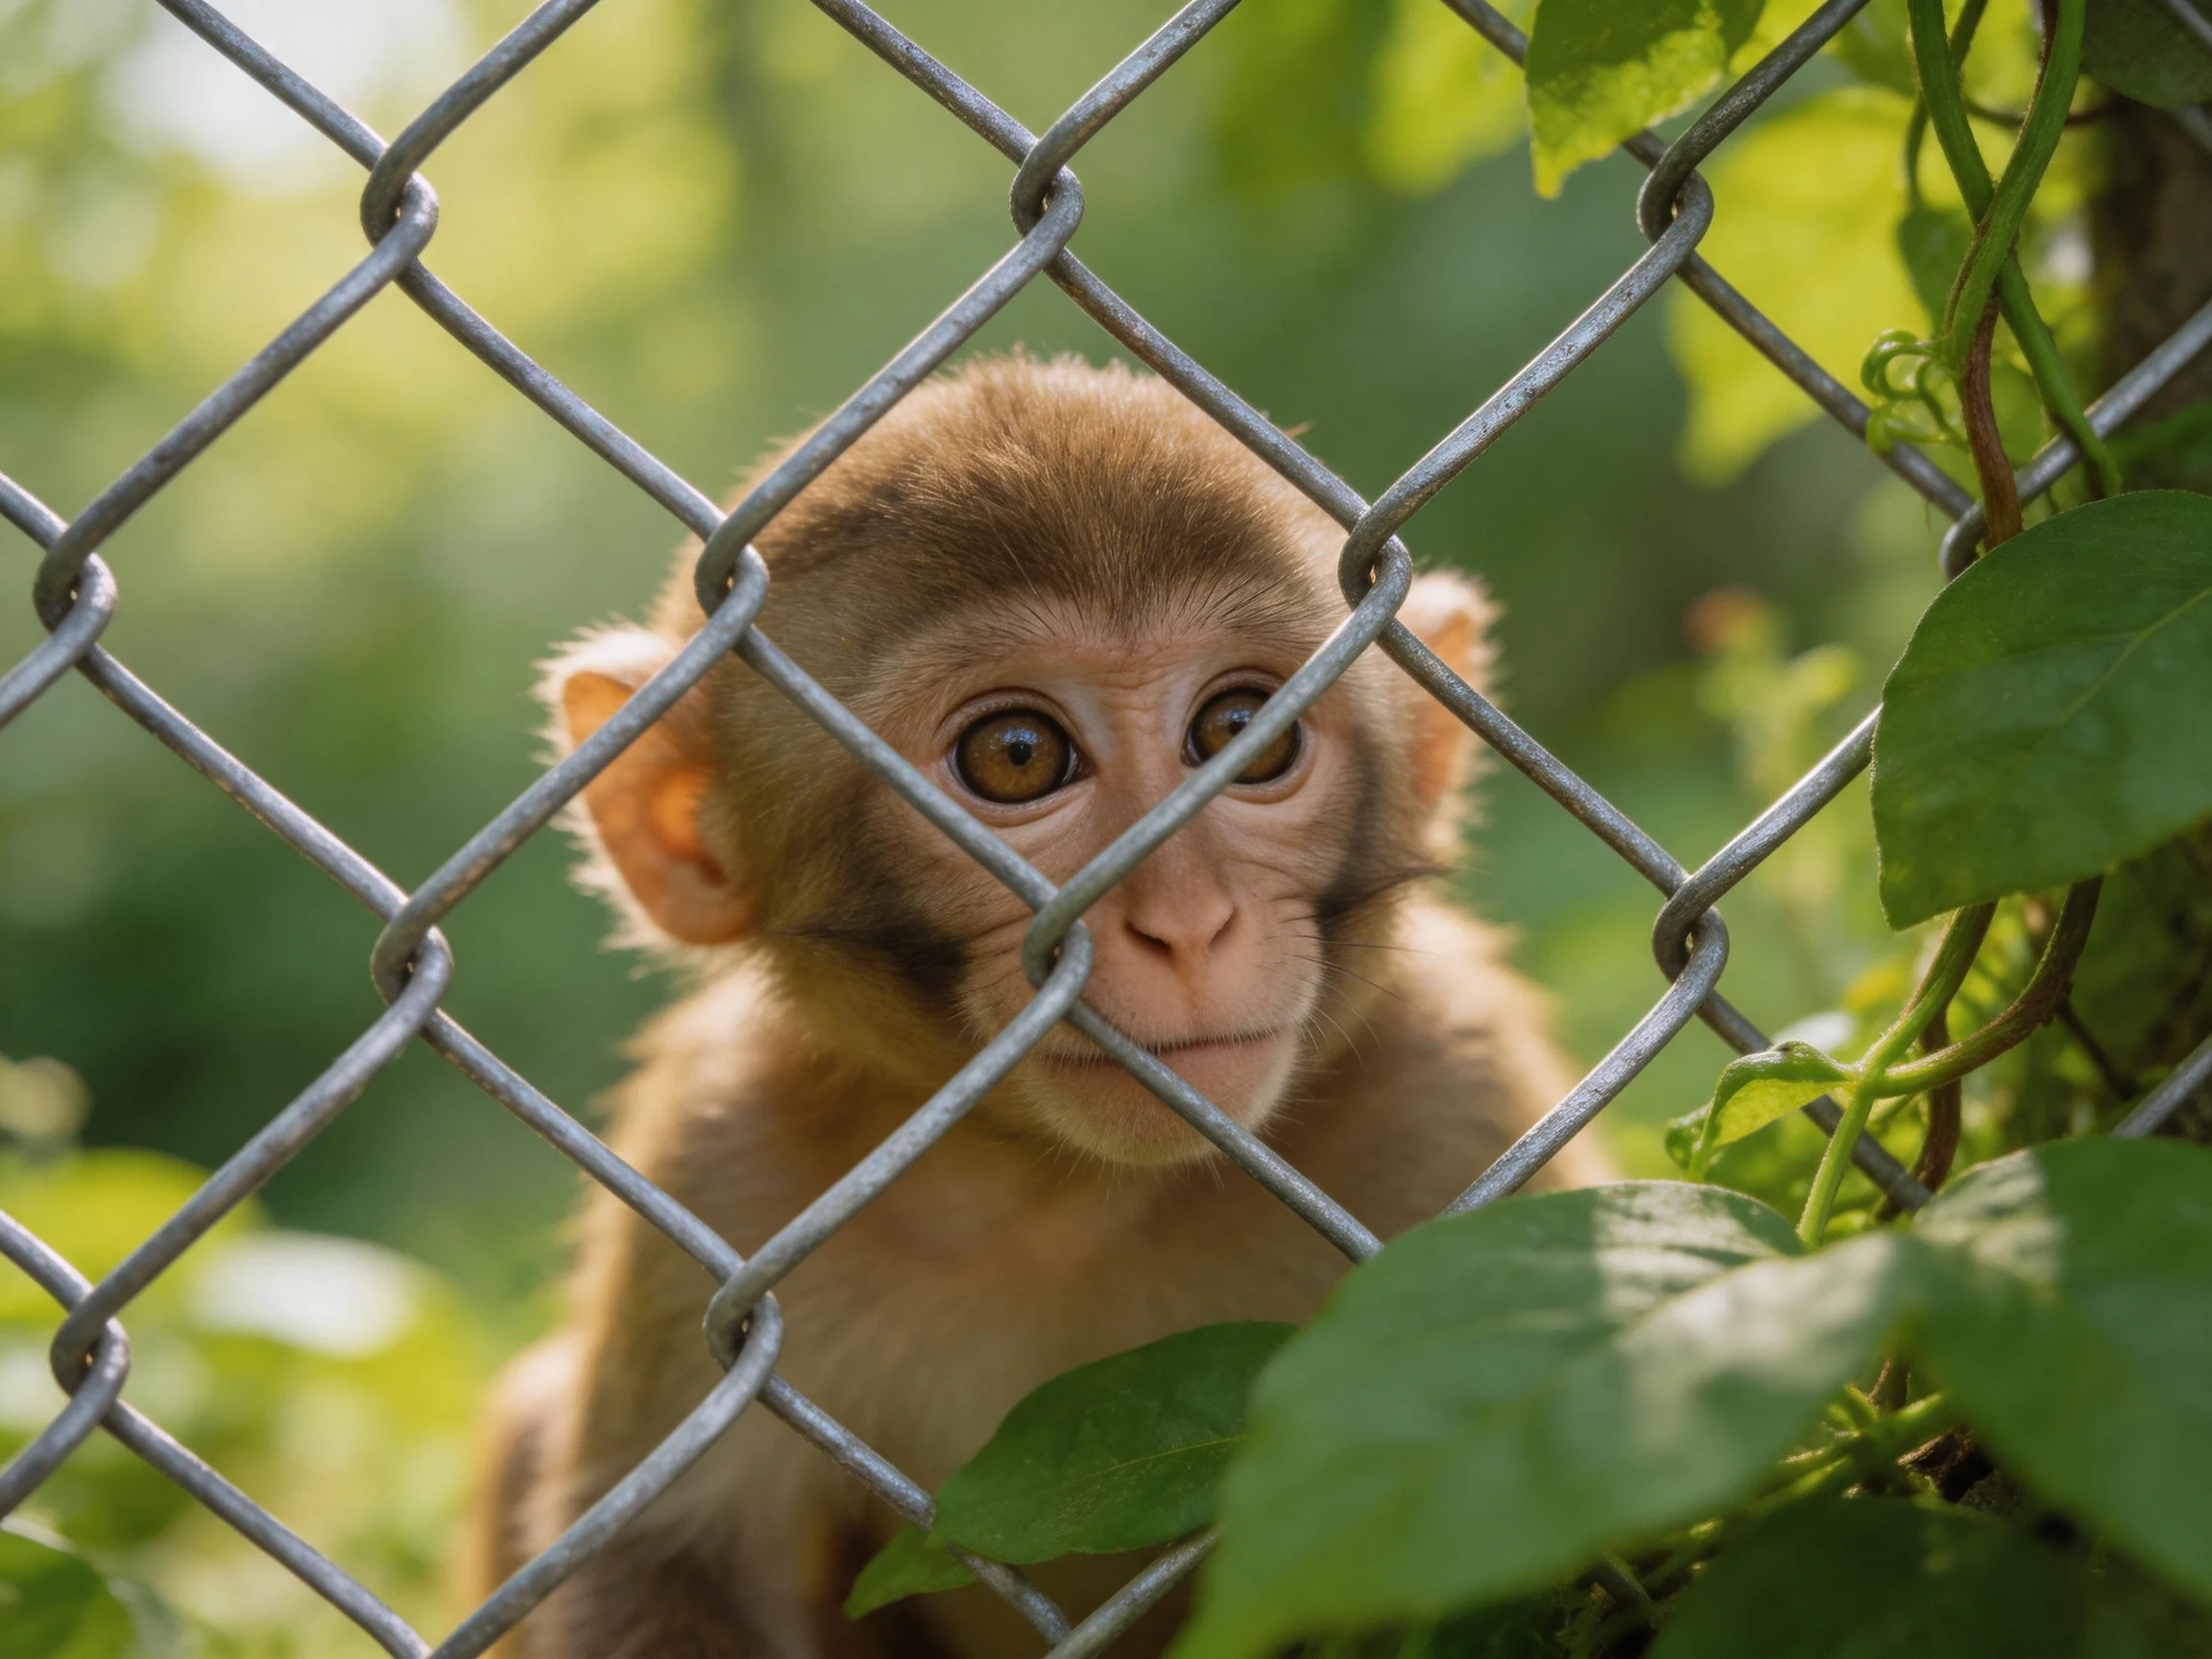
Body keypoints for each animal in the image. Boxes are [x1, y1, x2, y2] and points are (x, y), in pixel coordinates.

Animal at [464, 355, 1613, 1659]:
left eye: (1241, 732)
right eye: (1016, 755)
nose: (1186, 922)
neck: (1066, 1198)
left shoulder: (1451, 1088)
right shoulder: (719, 1165)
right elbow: (661, 1563)